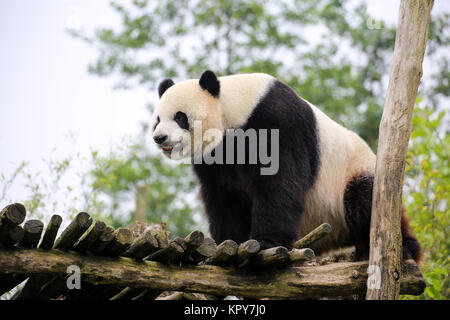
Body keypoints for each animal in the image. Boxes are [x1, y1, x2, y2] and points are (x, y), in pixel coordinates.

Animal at [151, 70, 422, 262]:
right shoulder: (216, 156)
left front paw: (265, 243)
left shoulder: (277, 122)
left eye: (180, 117)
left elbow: (280, 182)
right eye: (158, 119)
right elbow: (223, 196)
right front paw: (228, 242)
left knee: (365, 201)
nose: (159, 138)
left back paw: (405, 248)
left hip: (355, 172)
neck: (234, 109)